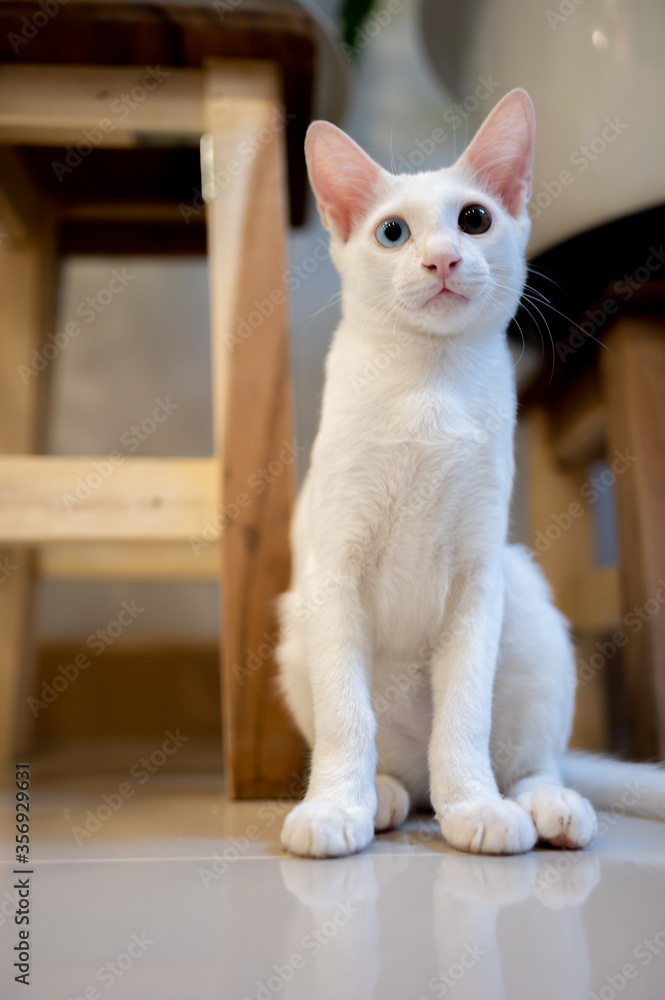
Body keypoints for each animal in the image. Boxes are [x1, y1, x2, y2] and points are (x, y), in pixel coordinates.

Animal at [274, 90, 664, 856]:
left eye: (474, 220)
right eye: (392, 232)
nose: (443, 259)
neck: (429, 386)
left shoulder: (476, 577)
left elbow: (464, 716)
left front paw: (475, 806)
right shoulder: (334, 571)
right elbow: (345, 717)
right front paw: (334, 807)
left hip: (527, 603)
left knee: (532, 761)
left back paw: (544, 806)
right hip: (296, 627)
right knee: (392, 762)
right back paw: (382, 797)